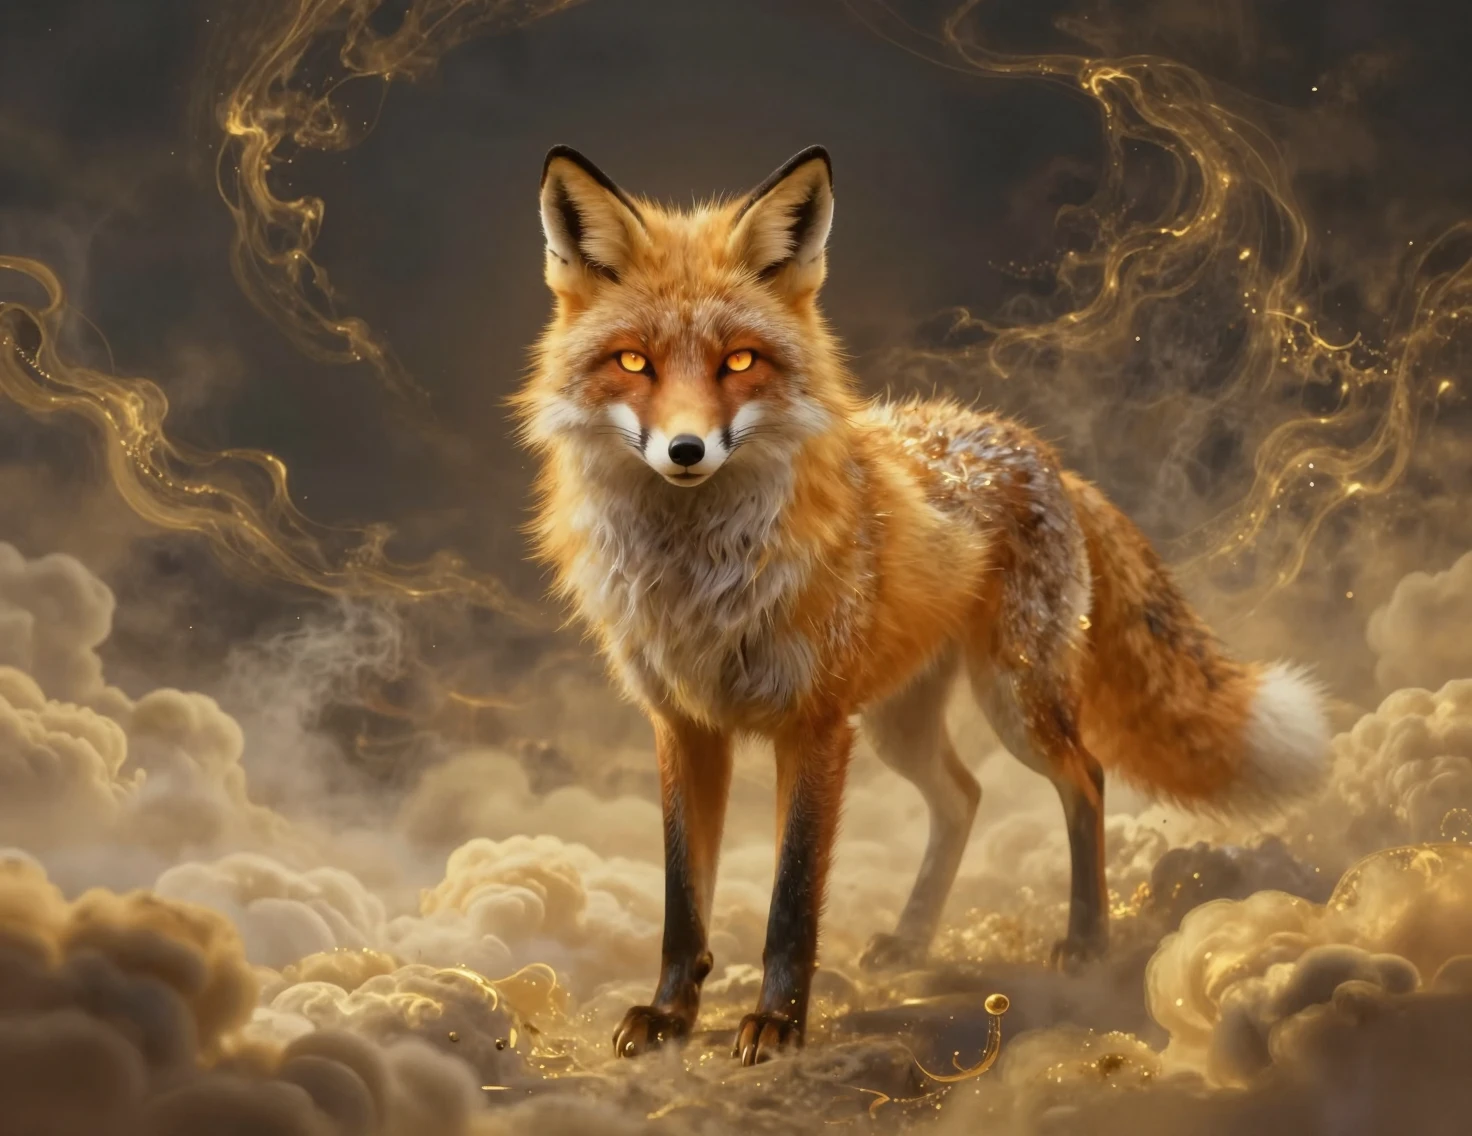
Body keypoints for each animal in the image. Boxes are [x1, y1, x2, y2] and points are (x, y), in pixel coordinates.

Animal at [512, 144, 1331, 1066]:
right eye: (633, 363)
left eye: (739, 362)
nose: (685, 450)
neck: (698, 575)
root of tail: (1042, 452)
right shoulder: (685, 725)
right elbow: (684, 900)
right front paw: (671, 1014)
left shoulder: (816, 725)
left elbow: (791, 899)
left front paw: (778, 1022)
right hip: (900, 722)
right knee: (962, 796)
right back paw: (912, 939)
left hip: (1012, 702)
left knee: (1084, 778)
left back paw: (1085, 940)